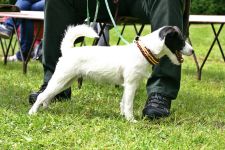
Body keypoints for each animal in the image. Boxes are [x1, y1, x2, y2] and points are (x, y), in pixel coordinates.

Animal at [28, 23, 193, 122]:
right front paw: (131, 120)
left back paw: (47, 109)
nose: (192, 51)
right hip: (60, 79)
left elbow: (123, 102)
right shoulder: (131, 84)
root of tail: (68, 50)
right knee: (42, 95)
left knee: (48, 96)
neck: (144, 50)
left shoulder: (128, 85)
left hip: (65, 82)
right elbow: (128, 104)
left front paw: (124, 117)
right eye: (180, 40)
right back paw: (33, 112)